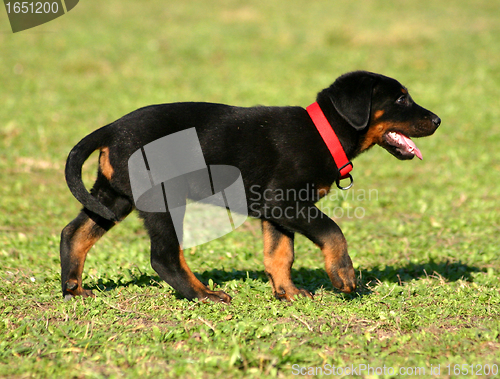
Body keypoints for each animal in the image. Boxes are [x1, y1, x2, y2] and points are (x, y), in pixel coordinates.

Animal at [60, 70, 440, 302]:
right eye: (401, 99)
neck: (324, 133)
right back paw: (205, 295)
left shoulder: (276, 212)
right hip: (162, 199)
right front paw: (343, 275)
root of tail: (111, 128)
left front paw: (288, 293)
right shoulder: (284, 201)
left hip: (114, 196)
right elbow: (333, 230)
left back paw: (73, 289)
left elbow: (279, 255)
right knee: (164, 256)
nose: (438, 120)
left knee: (74, 233)